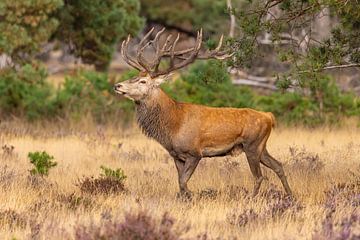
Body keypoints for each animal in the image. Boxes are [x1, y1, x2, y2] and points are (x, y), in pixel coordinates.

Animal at [115, 27, 292, 198]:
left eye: (143, 81)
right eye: (134, 76)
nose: (117, 85)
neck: (173, 125)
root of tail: (269, 117)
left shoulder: (195, 153)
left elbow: (183, 182)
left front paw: (194, 196)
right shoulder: (176, 156)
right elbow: (180, 181)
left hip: (252, 145)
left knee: (259, 176)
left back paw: (251, 198)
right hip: (261, 146)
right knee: (278, 165)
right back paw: (290, 196)